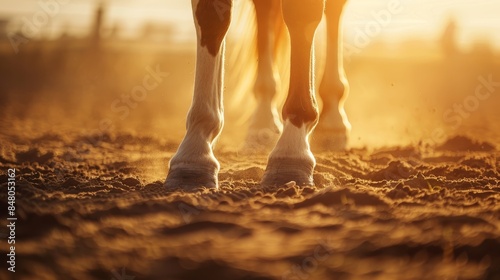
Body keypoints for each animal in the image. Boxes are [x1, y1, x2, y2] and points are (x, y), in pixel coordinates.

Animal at [164, 0, 348, 189]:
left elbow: (301, 15)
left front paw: (292, 152)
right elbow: (210, 16)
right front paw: (195, 154)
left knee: (335, 10)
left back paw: (333, 119)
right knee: (264, 9)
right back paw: (262, 122)